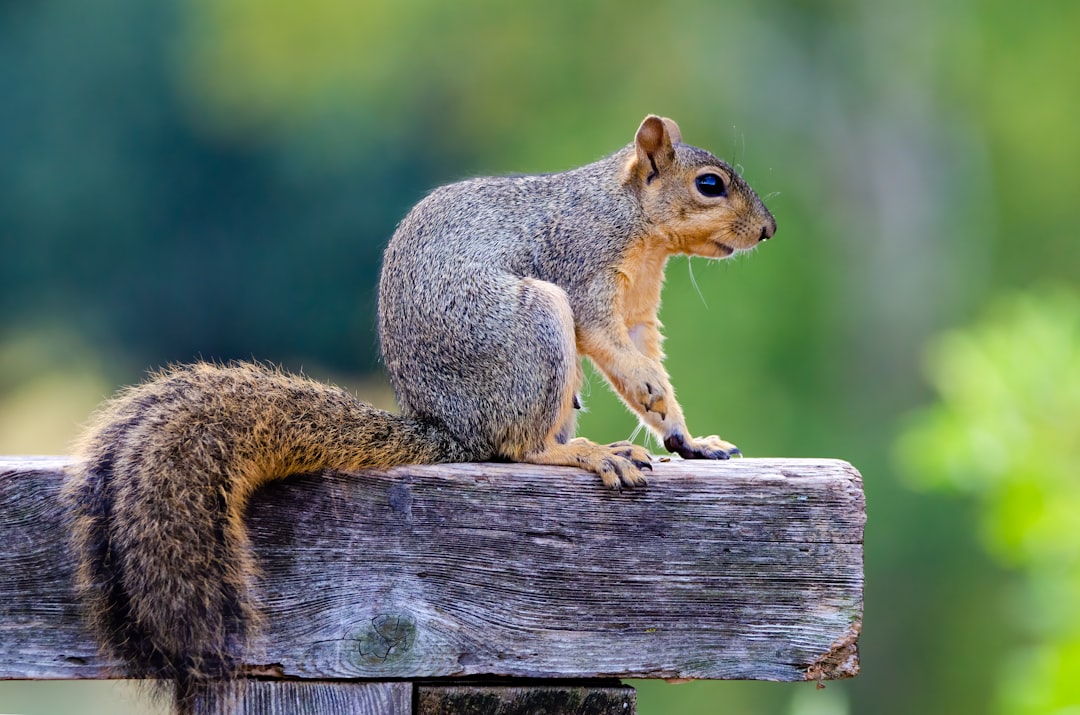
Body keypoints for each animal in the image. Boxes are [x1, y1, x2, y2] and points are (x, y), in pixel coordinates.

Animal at [61, 115, 777, 712]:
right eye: (710, 185)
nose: (768, 230)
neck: (631, 221)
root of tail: (448, 430)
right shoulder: (581, 273)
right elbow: (612, 346)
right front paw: (650, 394)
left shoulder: (639, 310)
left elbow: (646, 363)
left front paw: (687, 436)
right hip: (533, 328)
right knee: (520, 447)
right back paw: (588, 453)